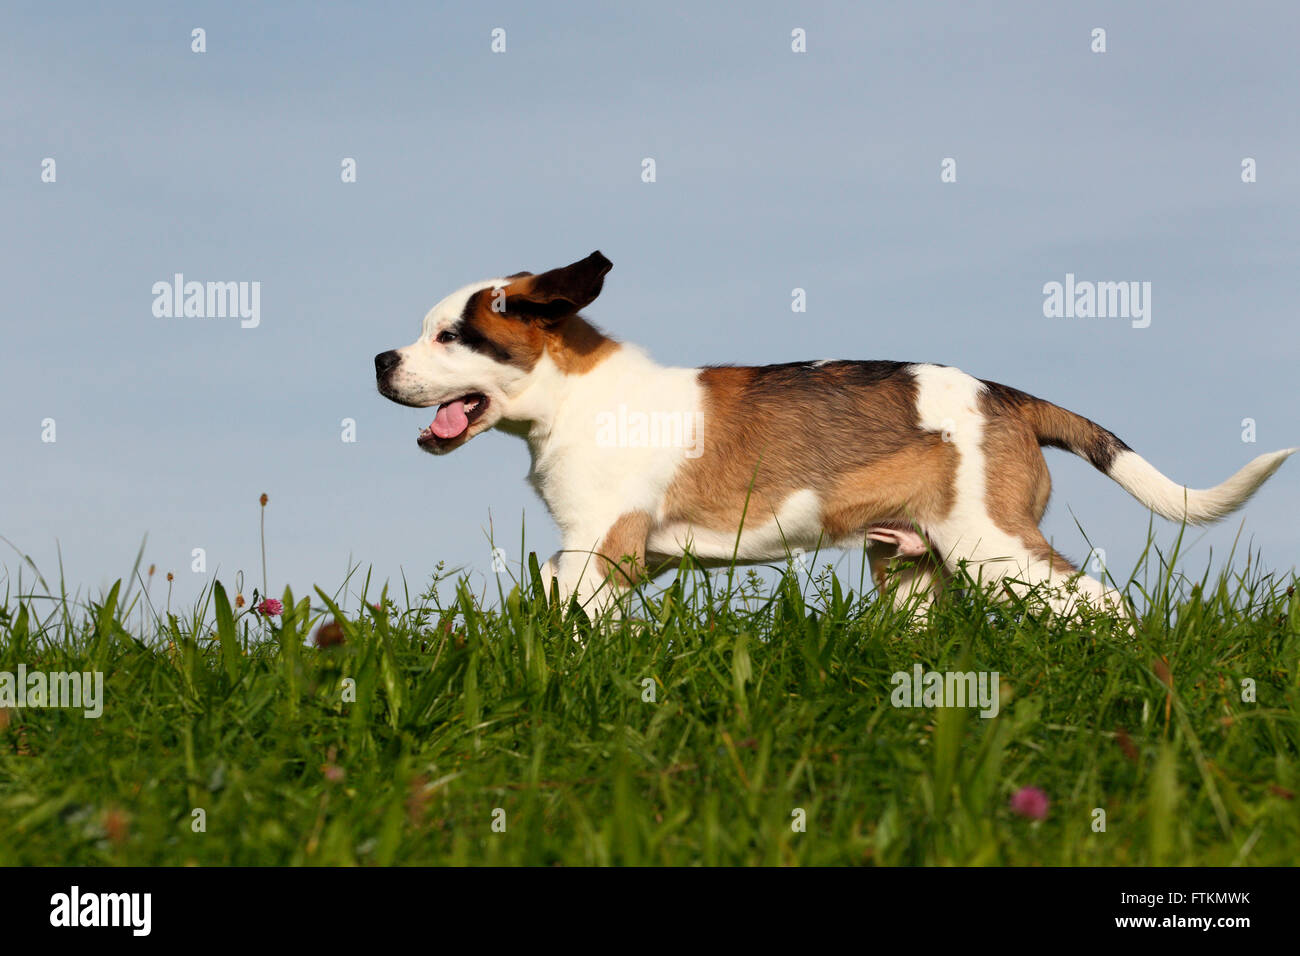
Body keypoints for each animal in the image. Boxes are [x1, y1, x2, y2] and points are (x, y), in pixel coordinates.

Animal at [374, 251, 1289, 616]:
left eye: (451, 337)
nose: (381, 360)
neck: (573, 396)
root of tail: (1007, 395)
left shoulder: (600, 549)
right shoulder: (620, 559)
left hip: (994, 548)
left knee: (1103, 605)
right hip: (913, 568)